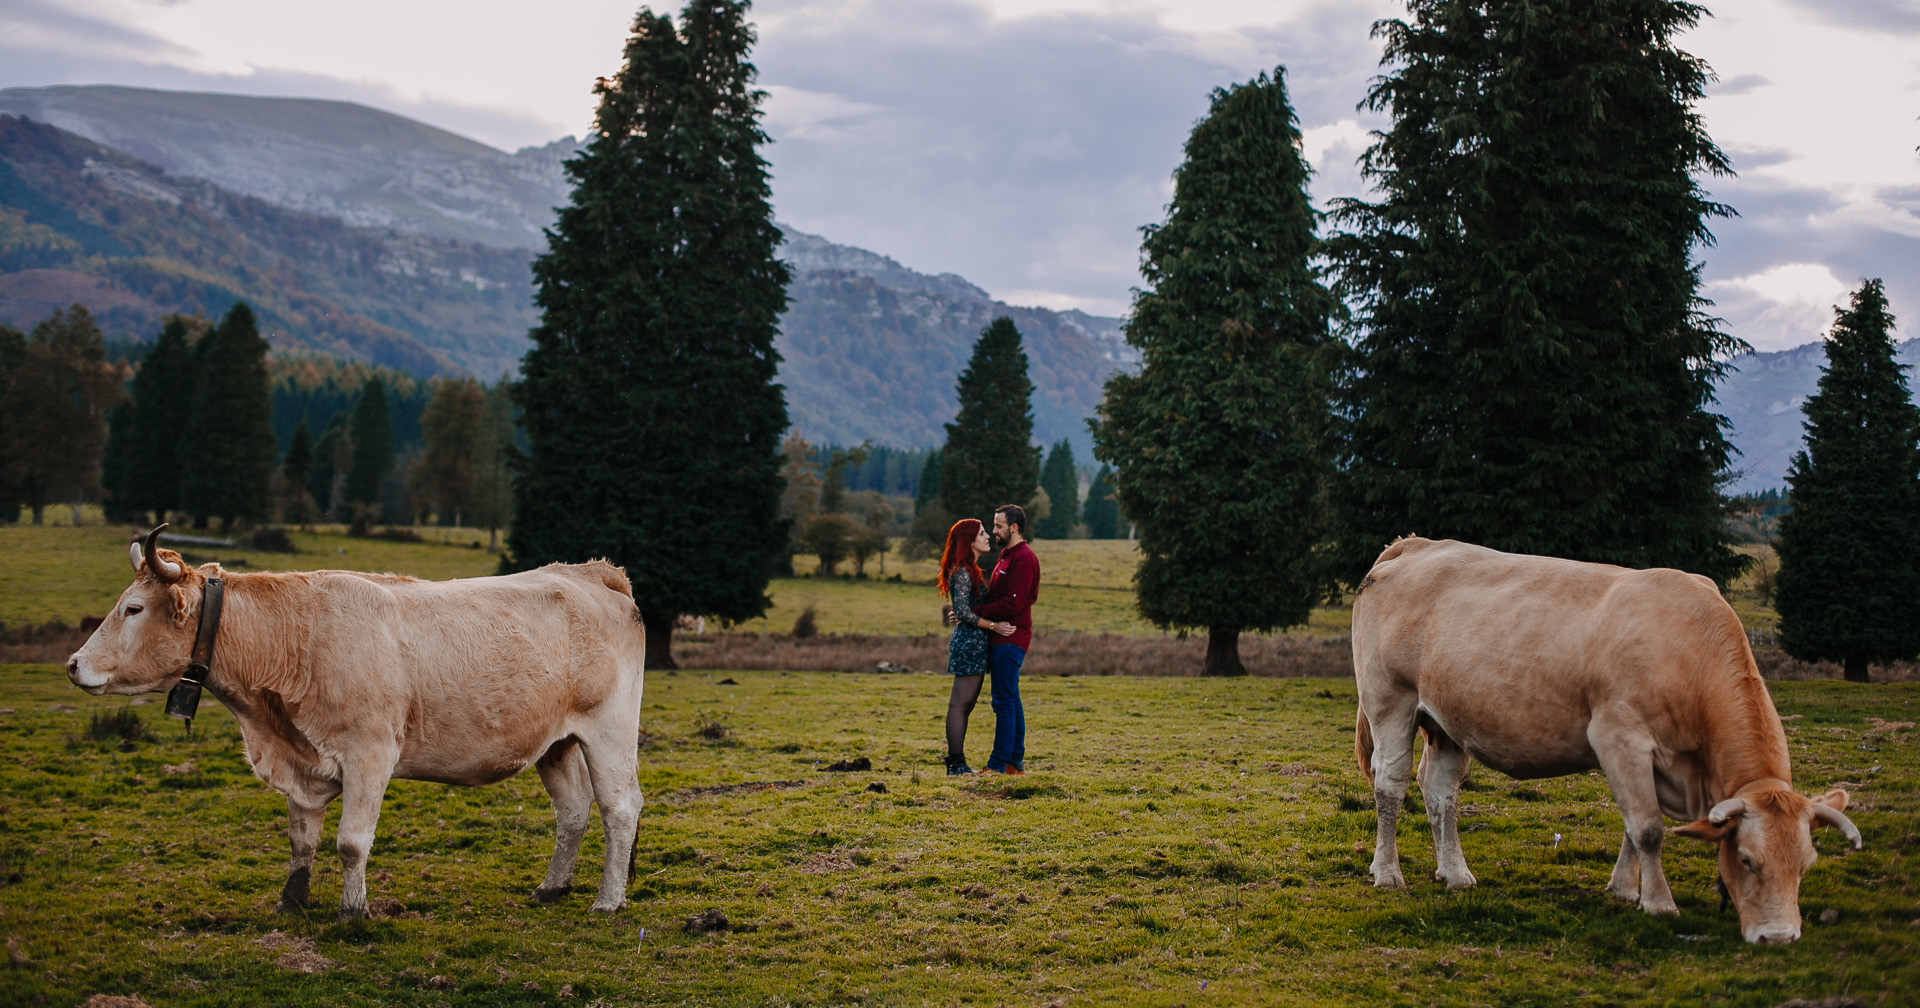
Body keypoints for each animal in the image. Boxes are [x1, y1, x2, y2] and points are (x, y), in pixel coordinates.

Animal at [71, 526, 648, 917]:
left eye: (133, 609)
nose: (74, 664)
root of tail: (590, 571)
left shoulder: (370, 754)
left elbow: (351, 841)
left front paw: (353, 911)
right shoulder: (301, 762)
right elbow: (302, 839)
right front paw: (292, 902)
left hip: (609, 732)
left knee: (619, 808)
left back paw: (608, 901)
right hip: (555, 742)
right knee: (572, 811)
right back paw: (552, 887)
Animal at [1351, 537, 1858, 940]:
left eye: (1806, 865)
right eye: (1748, 860)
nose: (1780, 937)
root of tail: (1415, 544)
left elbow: (1634, 826)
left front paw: (1622, 890)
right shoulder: (1619, 738)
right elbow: (1648, 828)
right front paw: (1659, 903)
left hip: (1448, 722)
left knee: (1439, 790)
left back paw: (1455, 873)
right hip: (1391, 701)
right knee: (1391, 785)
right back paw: (1389, 873)